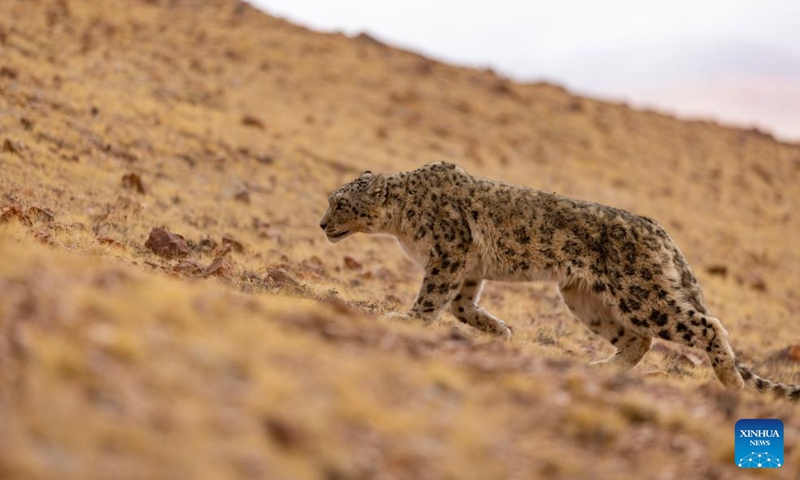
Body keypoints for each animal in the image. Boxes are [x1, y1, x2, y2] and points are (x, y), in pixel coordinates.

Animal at [319, 161, 799, 399]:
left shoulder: (448, 256)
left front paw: (407, 319)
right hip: (584, 298)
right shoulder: (466, 268)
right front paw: (499, 330)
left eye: (340, 203)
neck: (401, 223)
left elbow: (433, 299)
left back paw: (732, 384)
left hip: (642, 295)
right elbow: (461, 305)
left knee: (706, 324)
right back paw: (601, 369)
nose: (322, 223)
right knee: (637, 339)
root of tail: (658, 229)